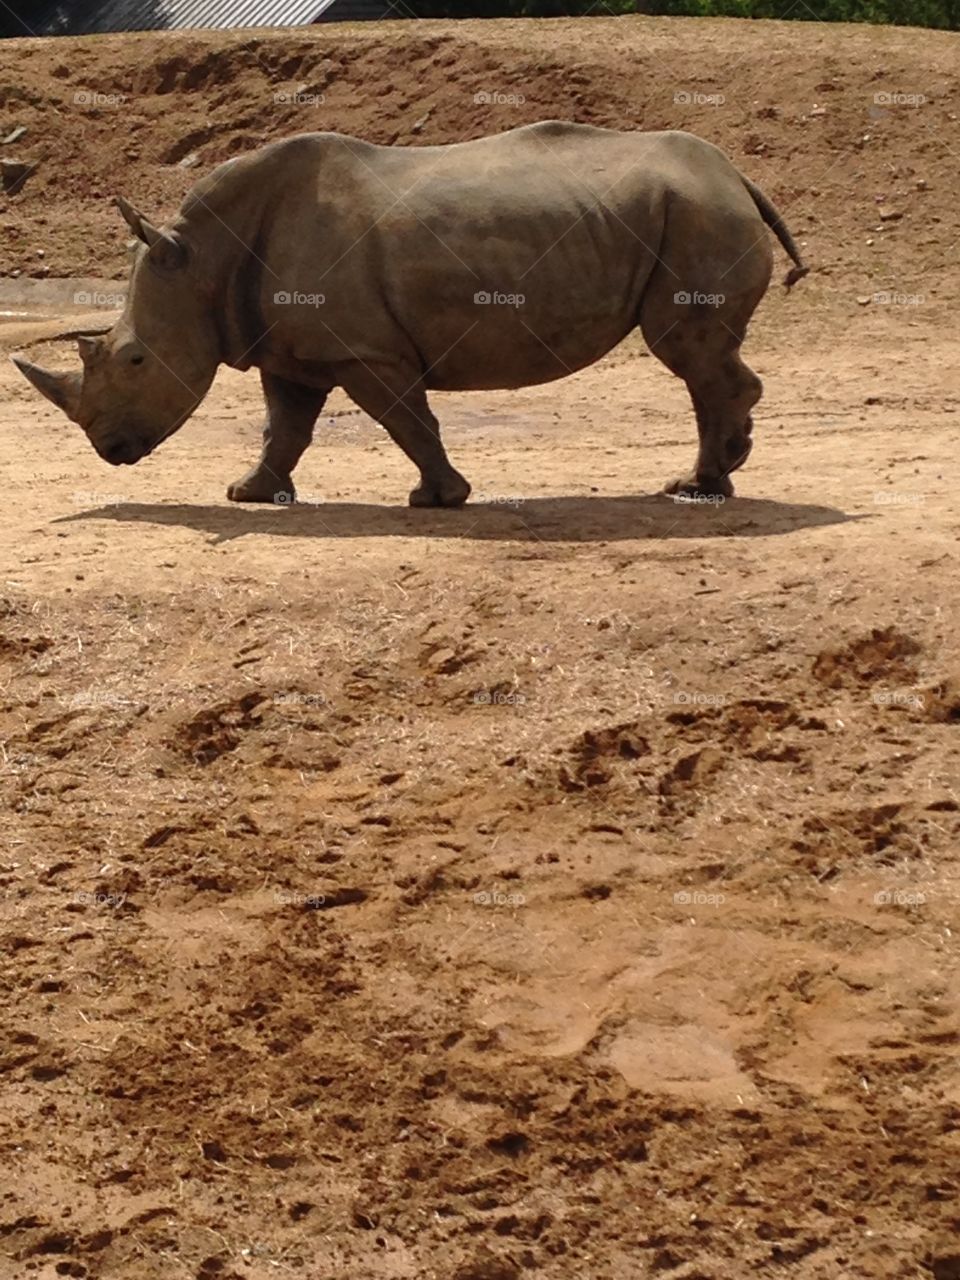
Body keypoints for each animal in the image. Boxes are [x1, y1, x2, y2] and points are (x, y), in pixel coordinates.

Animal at [15, 122, 814, 504]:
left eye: (134, 359)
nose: (109, 451)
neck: (202, 257)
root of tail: (737, 176)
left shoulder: (364, 349)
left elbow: (406, 419)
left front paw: (438, 499)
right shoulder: (293, 348)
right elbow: (285, 427)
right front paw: (249, 494)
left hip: (698, 213)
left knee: (688, 351)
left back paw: (701, 486)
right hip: (690, 209)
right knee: (700, 356)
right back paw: (711, 480)